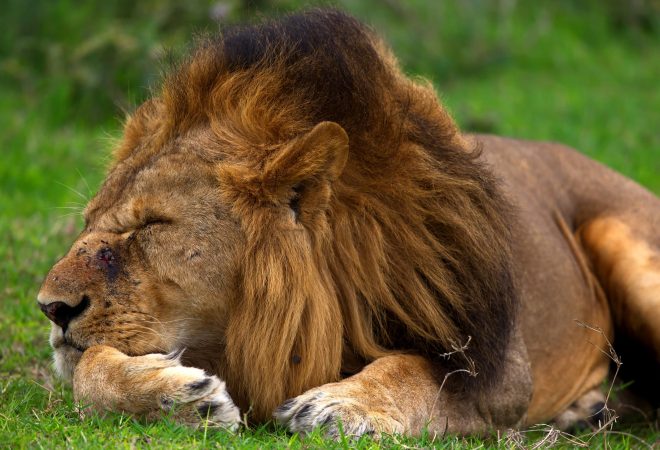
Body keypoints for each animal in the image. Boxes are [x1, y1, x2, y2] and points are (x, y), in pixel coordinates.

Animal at [38, 10, 659, 437]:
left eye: (153, 224)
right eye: (90, 220)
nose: (51, 308)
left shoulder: (499, 368)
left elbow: (413, 371)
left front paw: (340, 404)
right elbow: (87, 366)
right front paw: (178, 397)